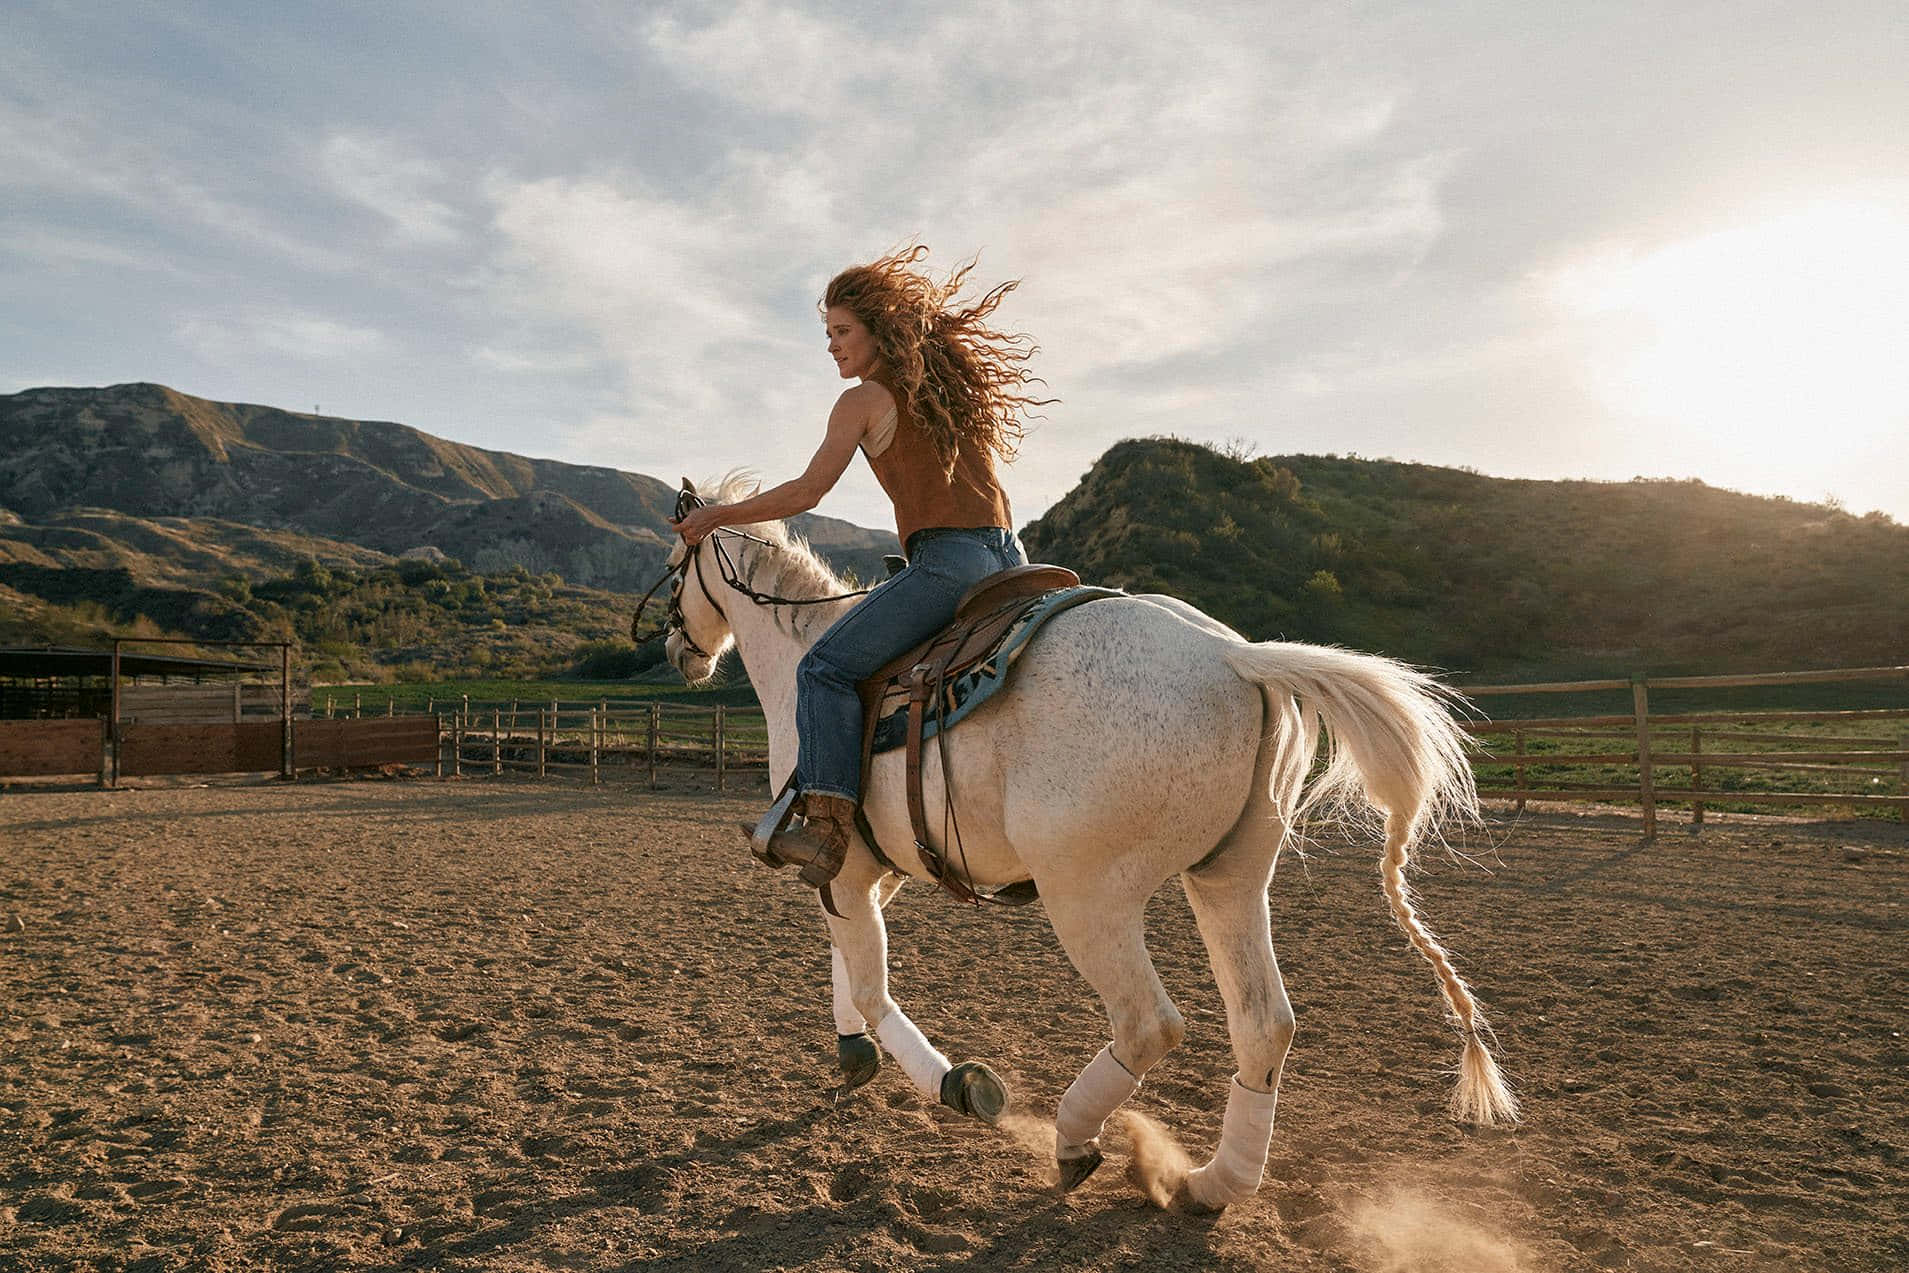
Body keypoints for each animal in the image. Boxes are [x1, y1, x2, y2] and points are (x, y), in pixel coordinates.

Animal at [660, 473, 1519, 1213]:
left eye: (672, 571)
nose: (676, 652)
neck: (804, 656)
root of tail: (1235, 657)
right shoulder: (871, 868)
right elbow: (849, 962)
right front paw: (853, 1051)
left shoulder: (840, 863)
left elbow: (872, 985)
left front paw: (953, 1081)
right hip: (1230, 880)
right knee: (1263, 1025)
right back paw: (1210, 1183)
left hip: (1087, 897)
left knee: (1148, 1024)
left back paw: (1075, 1139)